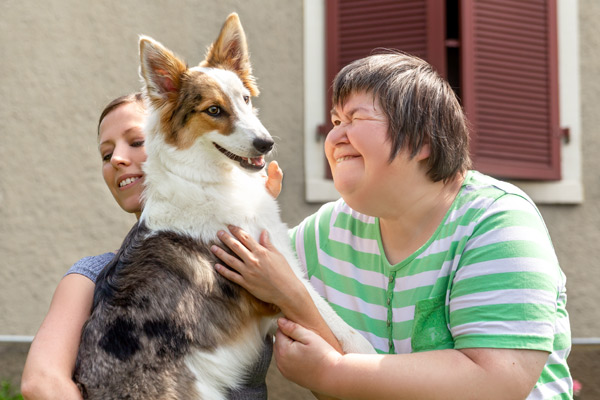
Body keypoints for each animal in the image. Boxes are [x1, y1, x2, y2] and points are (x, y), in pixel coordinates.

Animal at [74, 12, 376, 400]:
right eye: (214, 110)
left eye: (245, 99)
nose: (265, 143)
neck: (208, 180)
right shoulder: (279, 281)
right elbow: (339, 325)